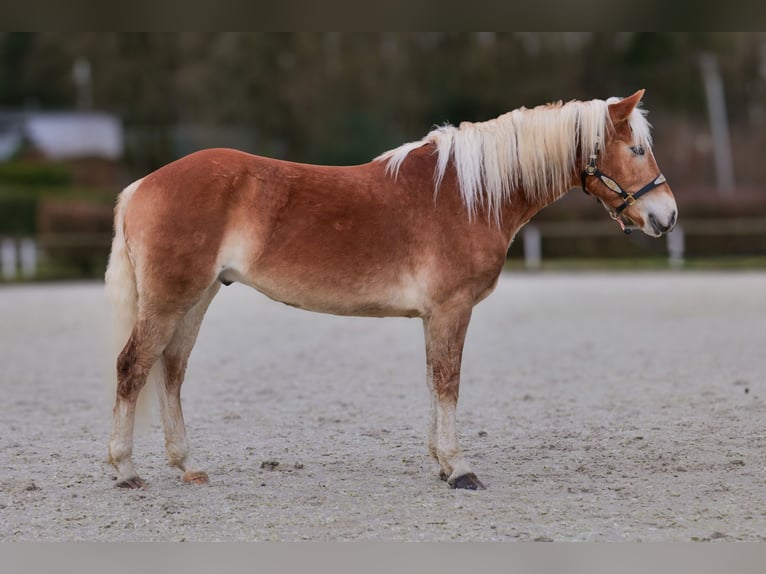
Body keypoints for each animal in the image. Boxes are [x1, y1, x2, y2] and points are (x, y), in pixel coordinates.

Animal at [103, 89, 680, 490]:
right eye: (636, 149)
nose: (667, 216)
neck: (467, 194)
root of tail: (143, 185)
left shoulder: (434, 315)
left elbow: (433, 381)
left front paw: (441, 463)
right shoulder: (451, 309)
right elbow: (448, 382)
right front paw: (460, 469)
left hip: (197, 297)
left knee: (171, 371)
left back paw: (188, 466)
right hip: (171, 299)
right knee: (134, 367)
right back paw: (126, 470)